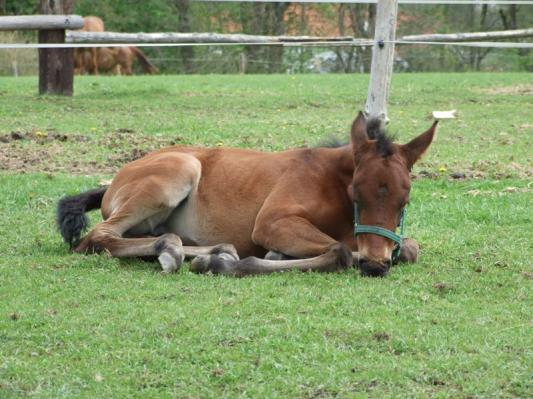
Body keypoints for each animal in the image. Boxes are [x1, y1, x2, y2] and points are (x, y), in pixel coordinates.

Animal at [56, 113, 434, 278]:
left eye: (404, 203)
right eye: (357, 196)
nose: (375, 265)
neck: (330, 179)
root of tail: (116, 179)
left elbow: (410, 248)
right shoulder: (271, 222)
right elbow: (339, 251)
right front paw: (238, 264)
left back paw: (210, 251)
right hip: (180, 170)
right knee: (98, 236)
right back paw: (179, 252)